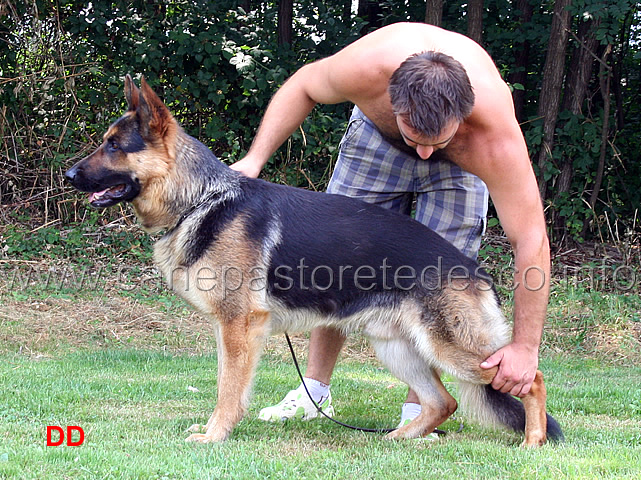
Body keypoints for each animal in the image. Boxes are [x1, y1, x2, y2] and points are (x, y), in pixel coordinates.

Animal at [67, 75, 564, 446]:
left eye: (114, 146)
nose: (69, 174)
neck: (199, 199)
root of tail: (472, 268)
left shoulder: (239, 327)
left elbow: (229, 390)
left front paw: (215, 436)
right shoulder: (229, 331)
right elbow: (225, 383)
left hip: (453, 348)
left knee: (532, 378)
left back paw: (533, 441)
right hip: (396, 347)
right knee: (445, 402)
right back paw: (401, 437)